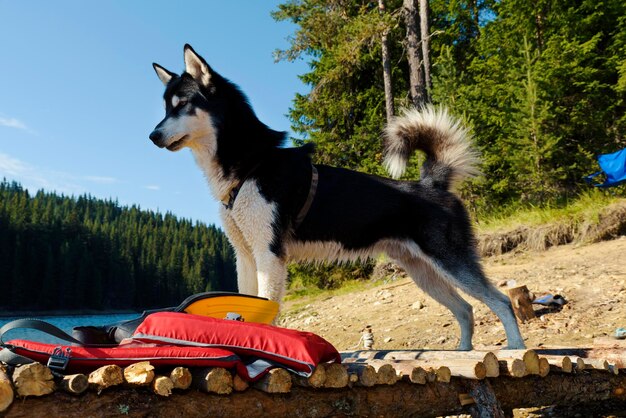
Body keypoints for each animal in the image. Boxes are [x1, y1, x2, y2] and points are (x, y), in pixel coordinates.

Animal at [149, 44, 524, 350]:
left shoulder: (270, 254)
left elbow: (266, 308)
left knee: (501, 301)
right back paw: (463, 352)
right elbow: (244, 302)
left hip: (451, 263)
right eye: (166, 108)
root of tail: (433, 183)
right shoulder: (245, 254)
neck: (252, 165)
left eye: (183, 106)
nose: (152, 135)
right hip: (424, 273)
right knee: (466, 308)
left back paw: (515, 349)